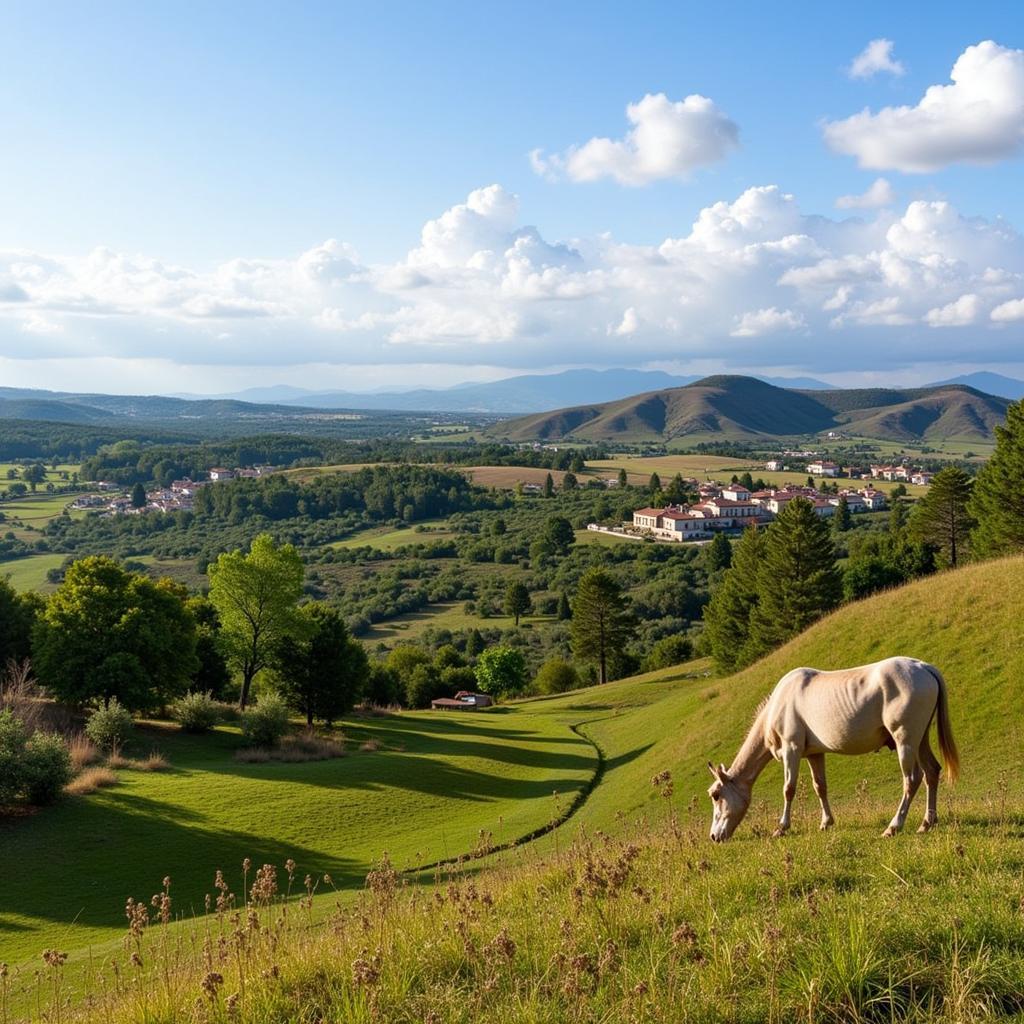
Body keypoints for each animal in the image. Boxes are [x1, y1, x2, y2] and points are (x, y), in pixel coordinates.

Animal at [704, 655, 958, 839]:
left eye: (716, 795)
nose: (714, 837)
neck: (779, 703)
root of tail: (924, 667)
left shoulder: (791, 750)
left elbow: (789, 789)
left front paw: (781, 827)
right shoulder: (815, 754)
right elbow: (820, 787)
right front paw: (826, 822)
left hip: (905, 740)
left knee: (912, 779)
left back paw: (894, 826)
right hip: (920, 740)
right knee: (931, 772)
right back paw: (927, 823)